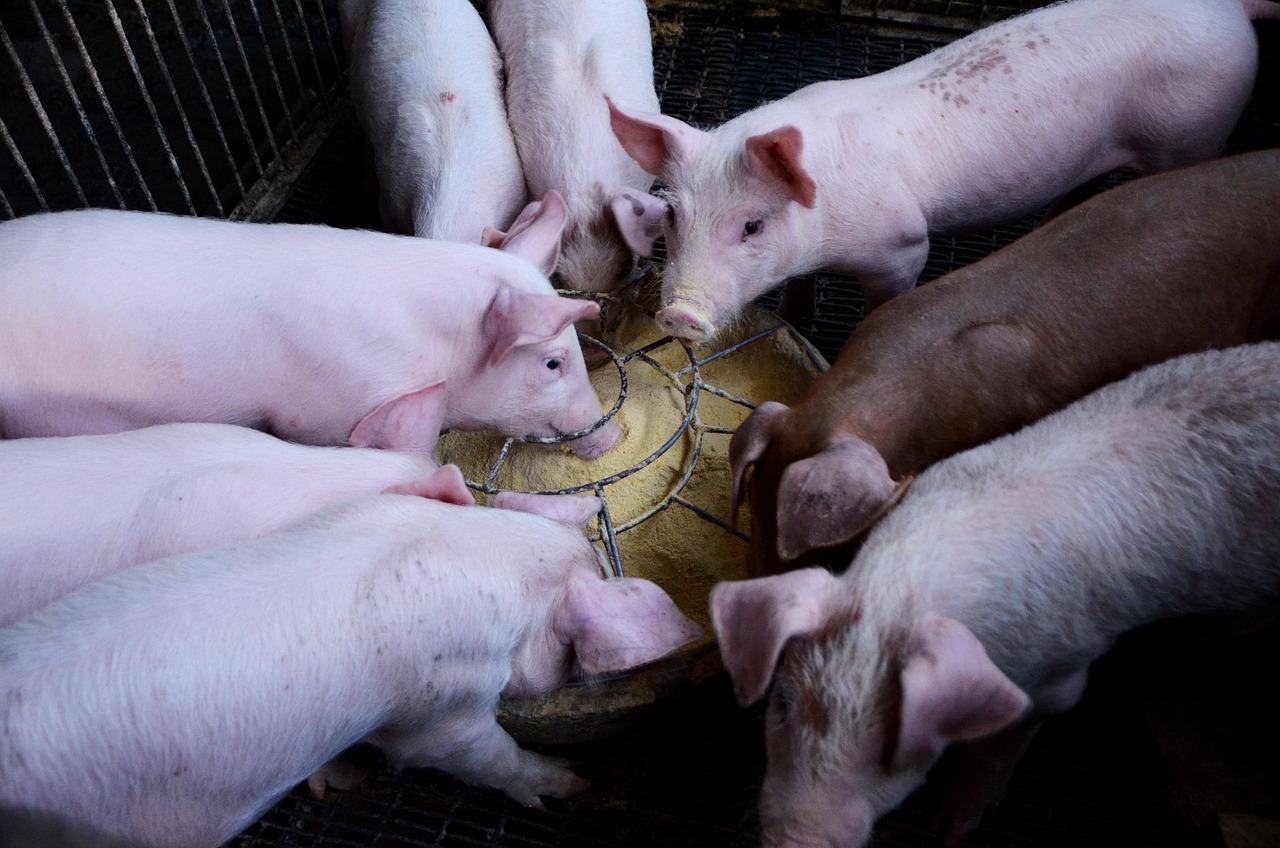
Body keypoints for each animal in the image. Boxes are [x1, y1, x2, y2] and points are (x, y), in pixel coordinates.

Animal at [607, 0, 1280, 341]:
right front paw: (796, 316)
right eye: (673, 217)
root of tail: (1229, 8)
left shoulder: (904, 246)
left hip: (1195, 132)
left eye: (752, 226)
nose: (679, 313)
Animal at [712, 340, 1280, 848]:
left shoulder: (1061, 678)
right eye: (783, 702)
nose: (797, 841)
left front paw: (950, 833)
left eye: (898, 746)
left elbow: (997, 753)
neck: (903, 594)